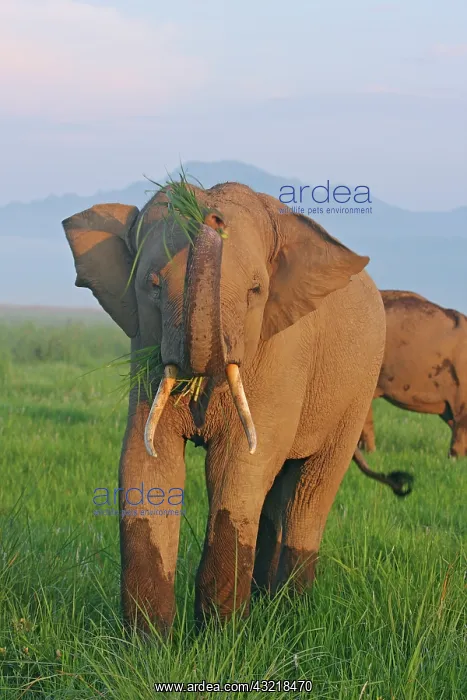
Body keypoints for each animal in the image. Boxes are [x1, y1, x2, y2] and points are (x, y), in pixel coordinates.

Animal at [62, 180, 386, 635]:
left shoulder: (280, 349)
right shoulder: (145, 347)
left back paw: (293, 612)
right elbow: (146, 460)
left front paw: (221, 638)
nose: (212, 216)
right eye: (153, 285)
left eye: (255, 291)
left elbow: (238, 464)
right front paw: (147, 644)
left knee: (310, 491)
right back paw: (267, 601)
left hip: (358, 388)